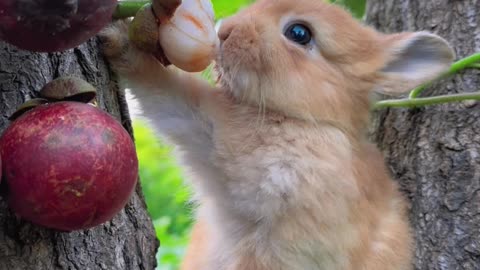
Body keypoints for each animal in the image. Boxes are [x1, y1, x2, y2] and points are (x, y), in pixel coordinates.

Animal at [100, 0, 454, 268]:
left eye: (299, 33)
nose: (224, 31)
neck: (303, 122)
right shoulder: (205, 128)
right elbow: (166, 91)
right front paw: (116, 38)